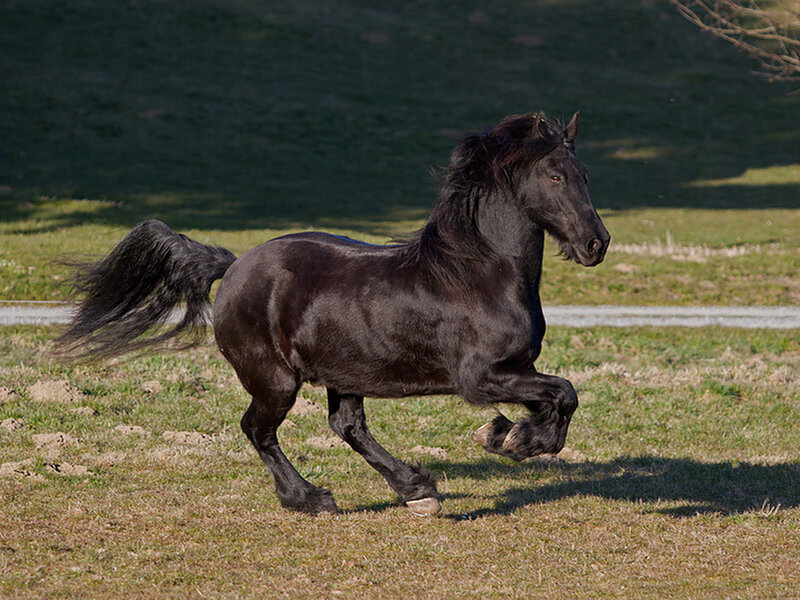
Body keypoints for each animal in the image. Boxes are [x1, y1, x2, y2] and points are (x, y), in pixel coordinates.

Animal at [56, 111, 610, 516]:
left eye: (586, 175)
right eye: (555, 175)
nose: (596, 244)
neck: (478, 274)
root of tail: (233, 267)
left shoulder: (518, 369)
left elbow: (558, 397)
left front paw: (510, 434)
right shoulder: (481, 377)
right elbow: (564, 393)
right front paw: (510, 438)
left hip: (346, 371)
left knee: (347, 426)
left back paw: (417, 491)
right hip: (276, 379)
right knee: (258, 429)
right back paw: (310, 498)